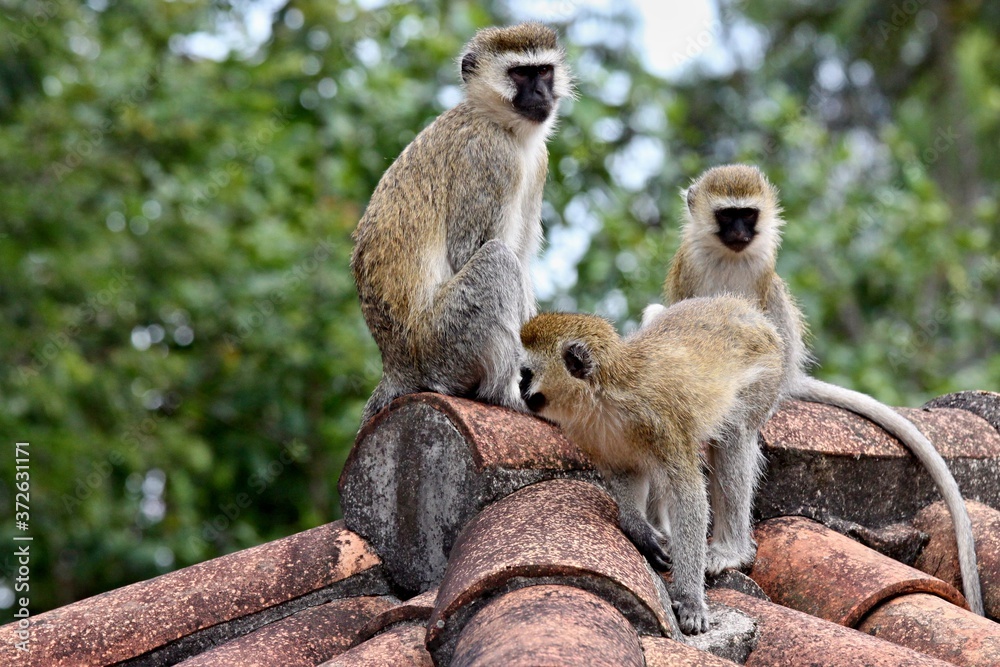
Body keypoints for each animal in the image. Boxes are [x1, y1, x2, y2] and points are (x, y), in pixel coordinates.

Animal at [351, 23, 573, 423]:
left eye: (544, 71)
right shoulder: (489, 155)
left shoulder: (539, 162)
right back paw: (504, 394)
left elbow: (521, 261)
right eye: (520, 74)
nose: (541, 93)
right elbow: (473, 251)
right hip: (444, 344)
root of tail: (396, 367)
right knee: (497, 260)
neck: (501, 124)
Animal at [519, 296, 785, 634]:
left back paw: (732, 550)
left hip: (766, 373)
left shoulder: (661, 419)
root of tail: (742, 307)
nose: (519, 387)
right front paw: (640, 529)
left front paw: (690, 600)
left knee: (733, 437)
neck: (604, 398)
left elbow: (688, 497)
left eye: (526, 373)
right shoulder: (589, 432)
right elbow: (627, 473)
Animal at [651, 163, 985, 616]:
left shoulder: (761, 271)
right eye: (726, 216)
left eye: (748, 215)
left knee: (738, 426)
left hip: (771, 375)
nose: (739, 232)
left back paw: (731, 548)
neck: (728, 255)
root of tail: (791, 377)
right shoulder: (689, 264)